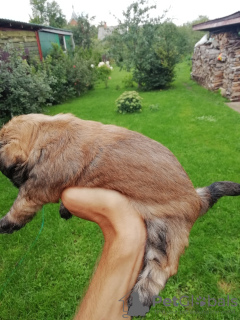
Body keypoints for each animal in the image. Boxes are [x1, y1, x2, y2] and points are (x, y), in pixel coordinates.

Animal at [0, 113, 240, 316]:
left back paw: (141, 298)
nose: (13, 183)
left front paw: (5, 223)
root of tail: (198, 199)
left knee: (163, 265)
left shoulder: (37, 188)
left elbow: (21, 206)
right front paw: (64, 209)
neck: (47, 132)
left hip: (165, 230)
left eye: (10, 172)